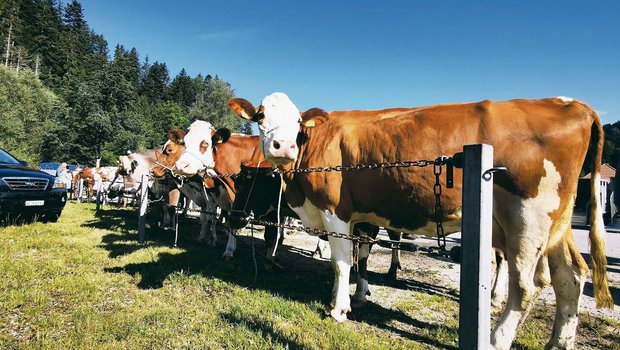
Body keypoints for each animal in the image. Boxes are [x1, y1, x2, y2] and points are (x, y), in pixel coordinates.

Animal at [218, 93, 612, 350]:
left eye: (298, 122)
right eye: (261, 118)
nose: (282, 146)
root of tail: (567, 102)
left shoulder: (336, 211)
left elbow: (341, 263)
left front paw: (338, 308)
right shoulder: (364, 216)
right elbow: (359, 260)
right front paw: (357, 296)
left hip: (528, 219)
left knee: (528, 286)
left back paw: (498, 339)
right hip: (556, 222)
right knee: (570, 276)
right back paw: (559, 342)